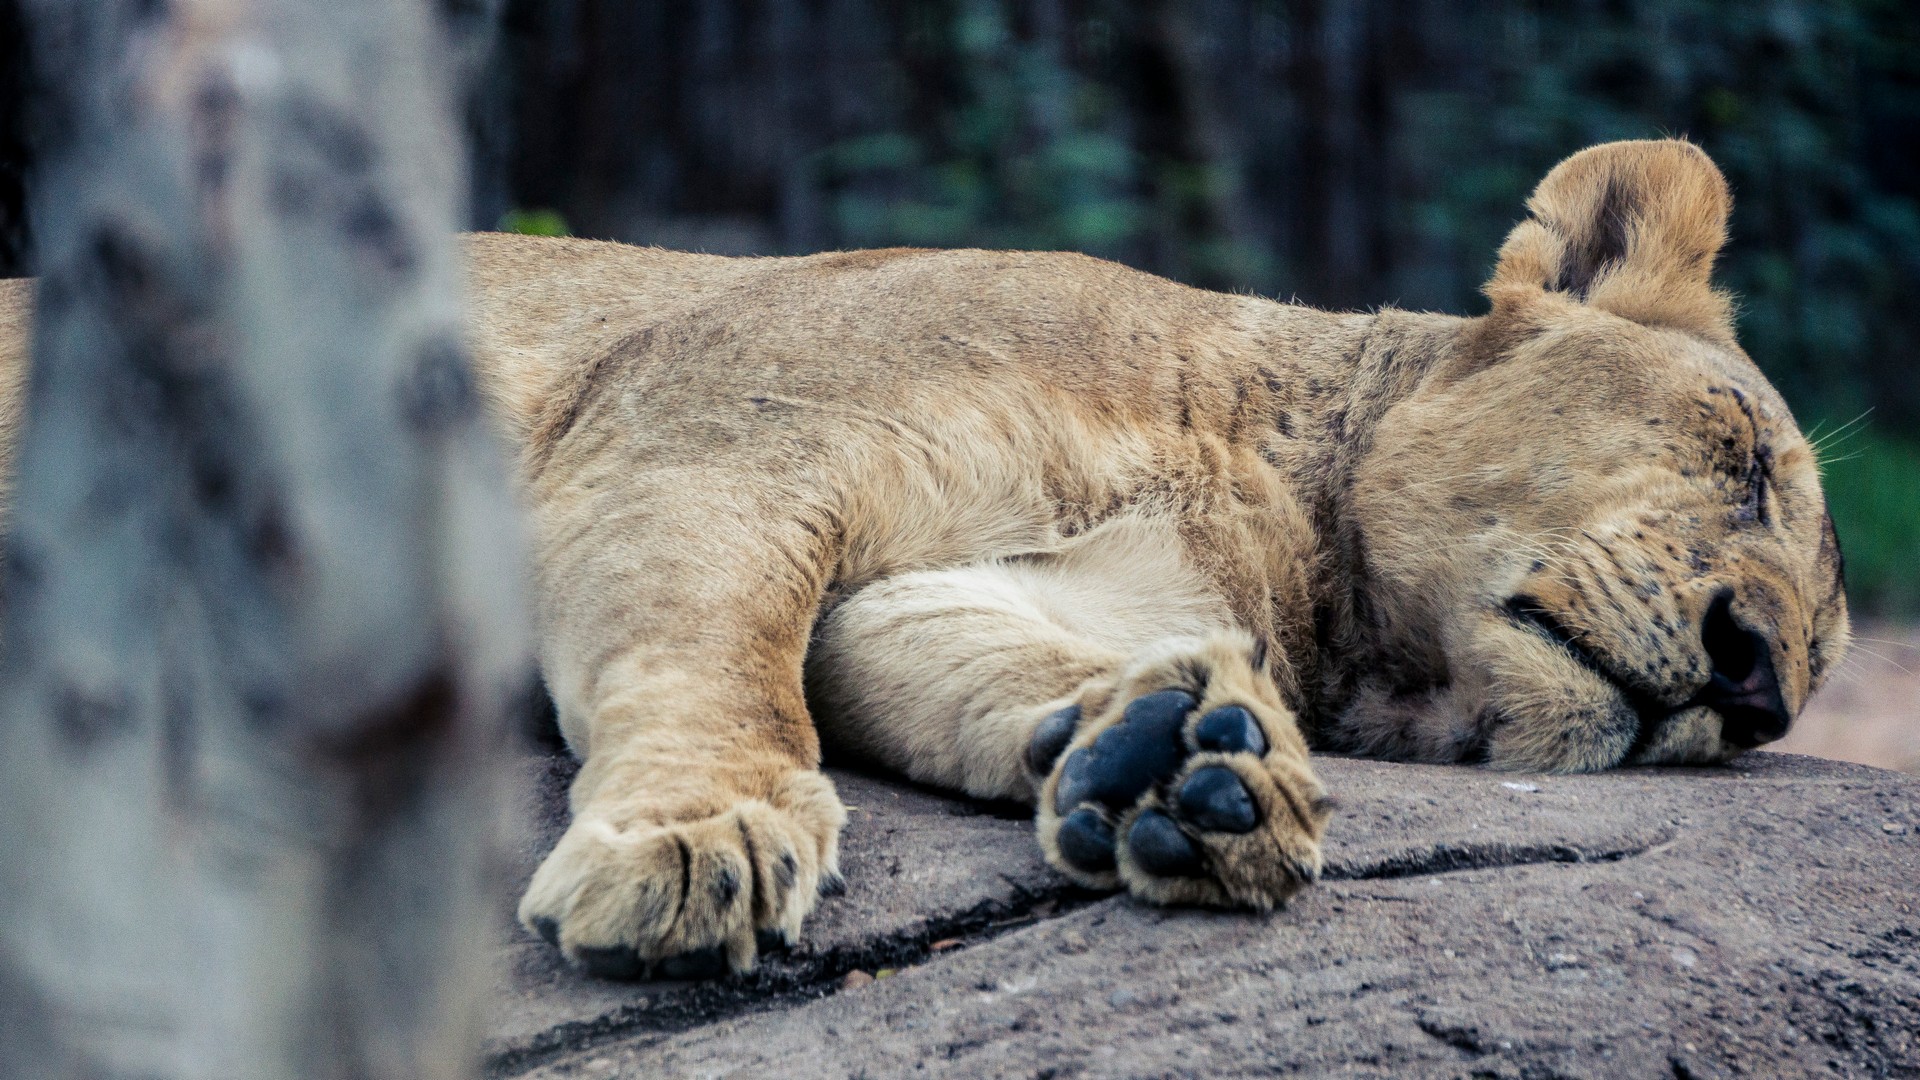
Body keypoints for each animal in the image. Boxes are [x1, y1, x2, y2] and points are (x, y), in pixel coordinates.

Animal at [0, 136, 1858, 976]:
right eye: (1744, 455)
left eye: (1832, 661)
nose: (1759, 688)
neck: (1276, 506)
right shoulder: (701, 445)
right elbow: (724, 667)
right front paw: (699, 840)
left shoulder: (934, 580)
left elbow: (958, 660)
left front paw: (1183, 763)